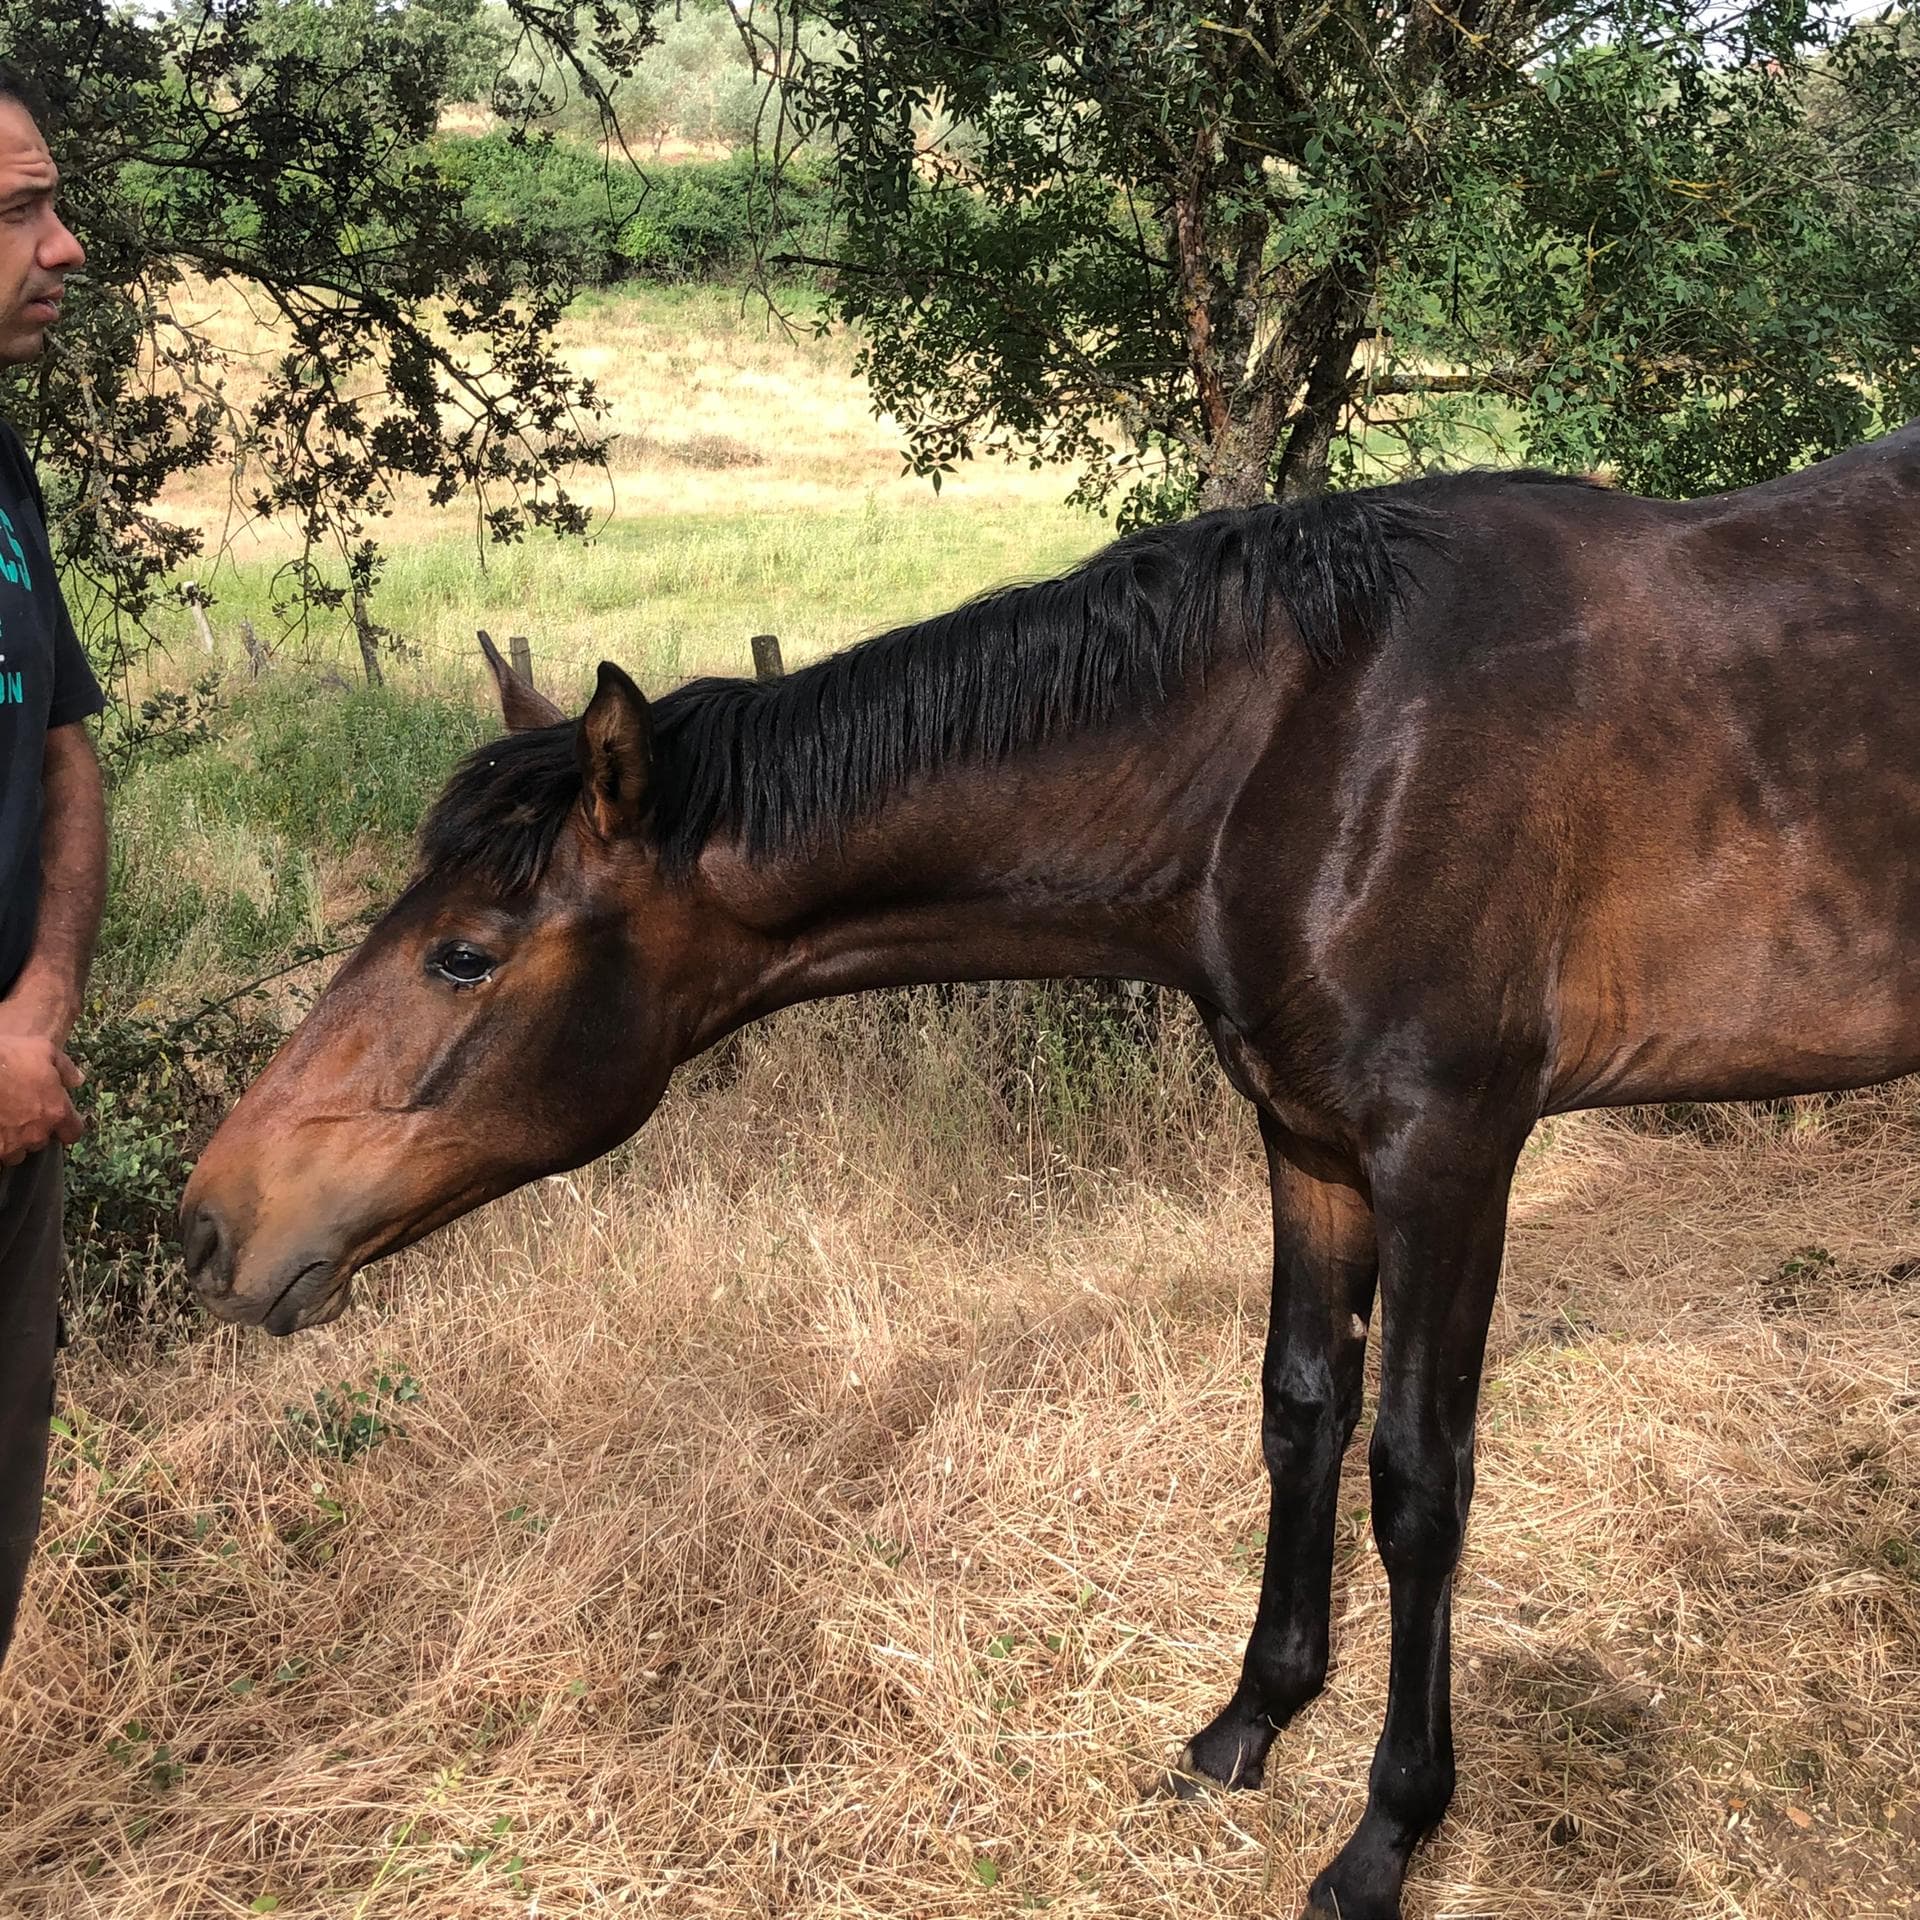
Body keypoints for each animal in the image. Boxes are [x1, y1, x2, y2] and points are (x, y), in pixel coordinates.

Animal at [181, 422, 1920, 1920]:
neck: (1322, 740)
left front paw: (1385, 1834)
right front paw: (1248, 1722)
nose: (213, 1225)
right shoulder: (1309, 1140)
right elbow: (1300, 1410)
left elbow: (1419, 1480)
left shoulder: (1450, 1151)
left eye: (466, 955)